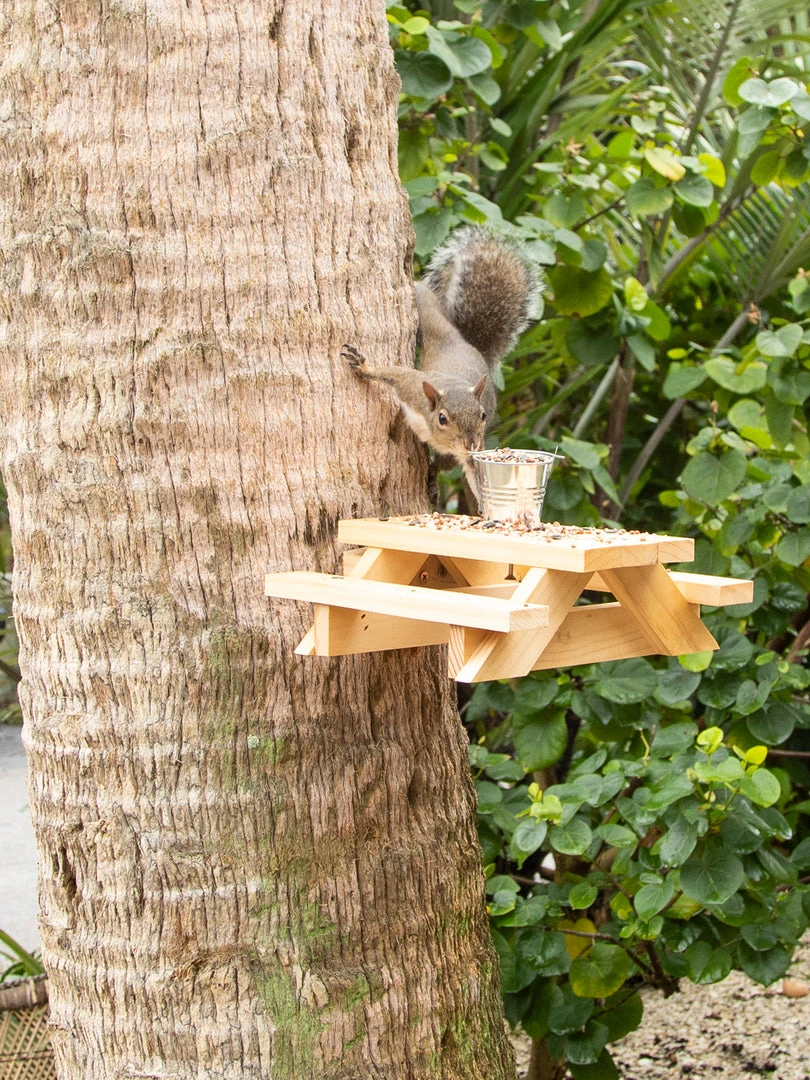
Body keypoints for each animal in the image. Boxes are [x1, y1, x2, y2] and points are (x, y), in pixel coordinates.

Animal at [343, 225, 540, 488]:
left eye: (483, 415)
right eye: (443, 418)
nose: (470, 443)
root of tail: (468, 344)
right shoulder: (412, 387)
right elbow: (396, 373)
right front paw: (364, 367)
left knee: (441, 465)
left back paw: (433, 480)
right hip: (433, 322)